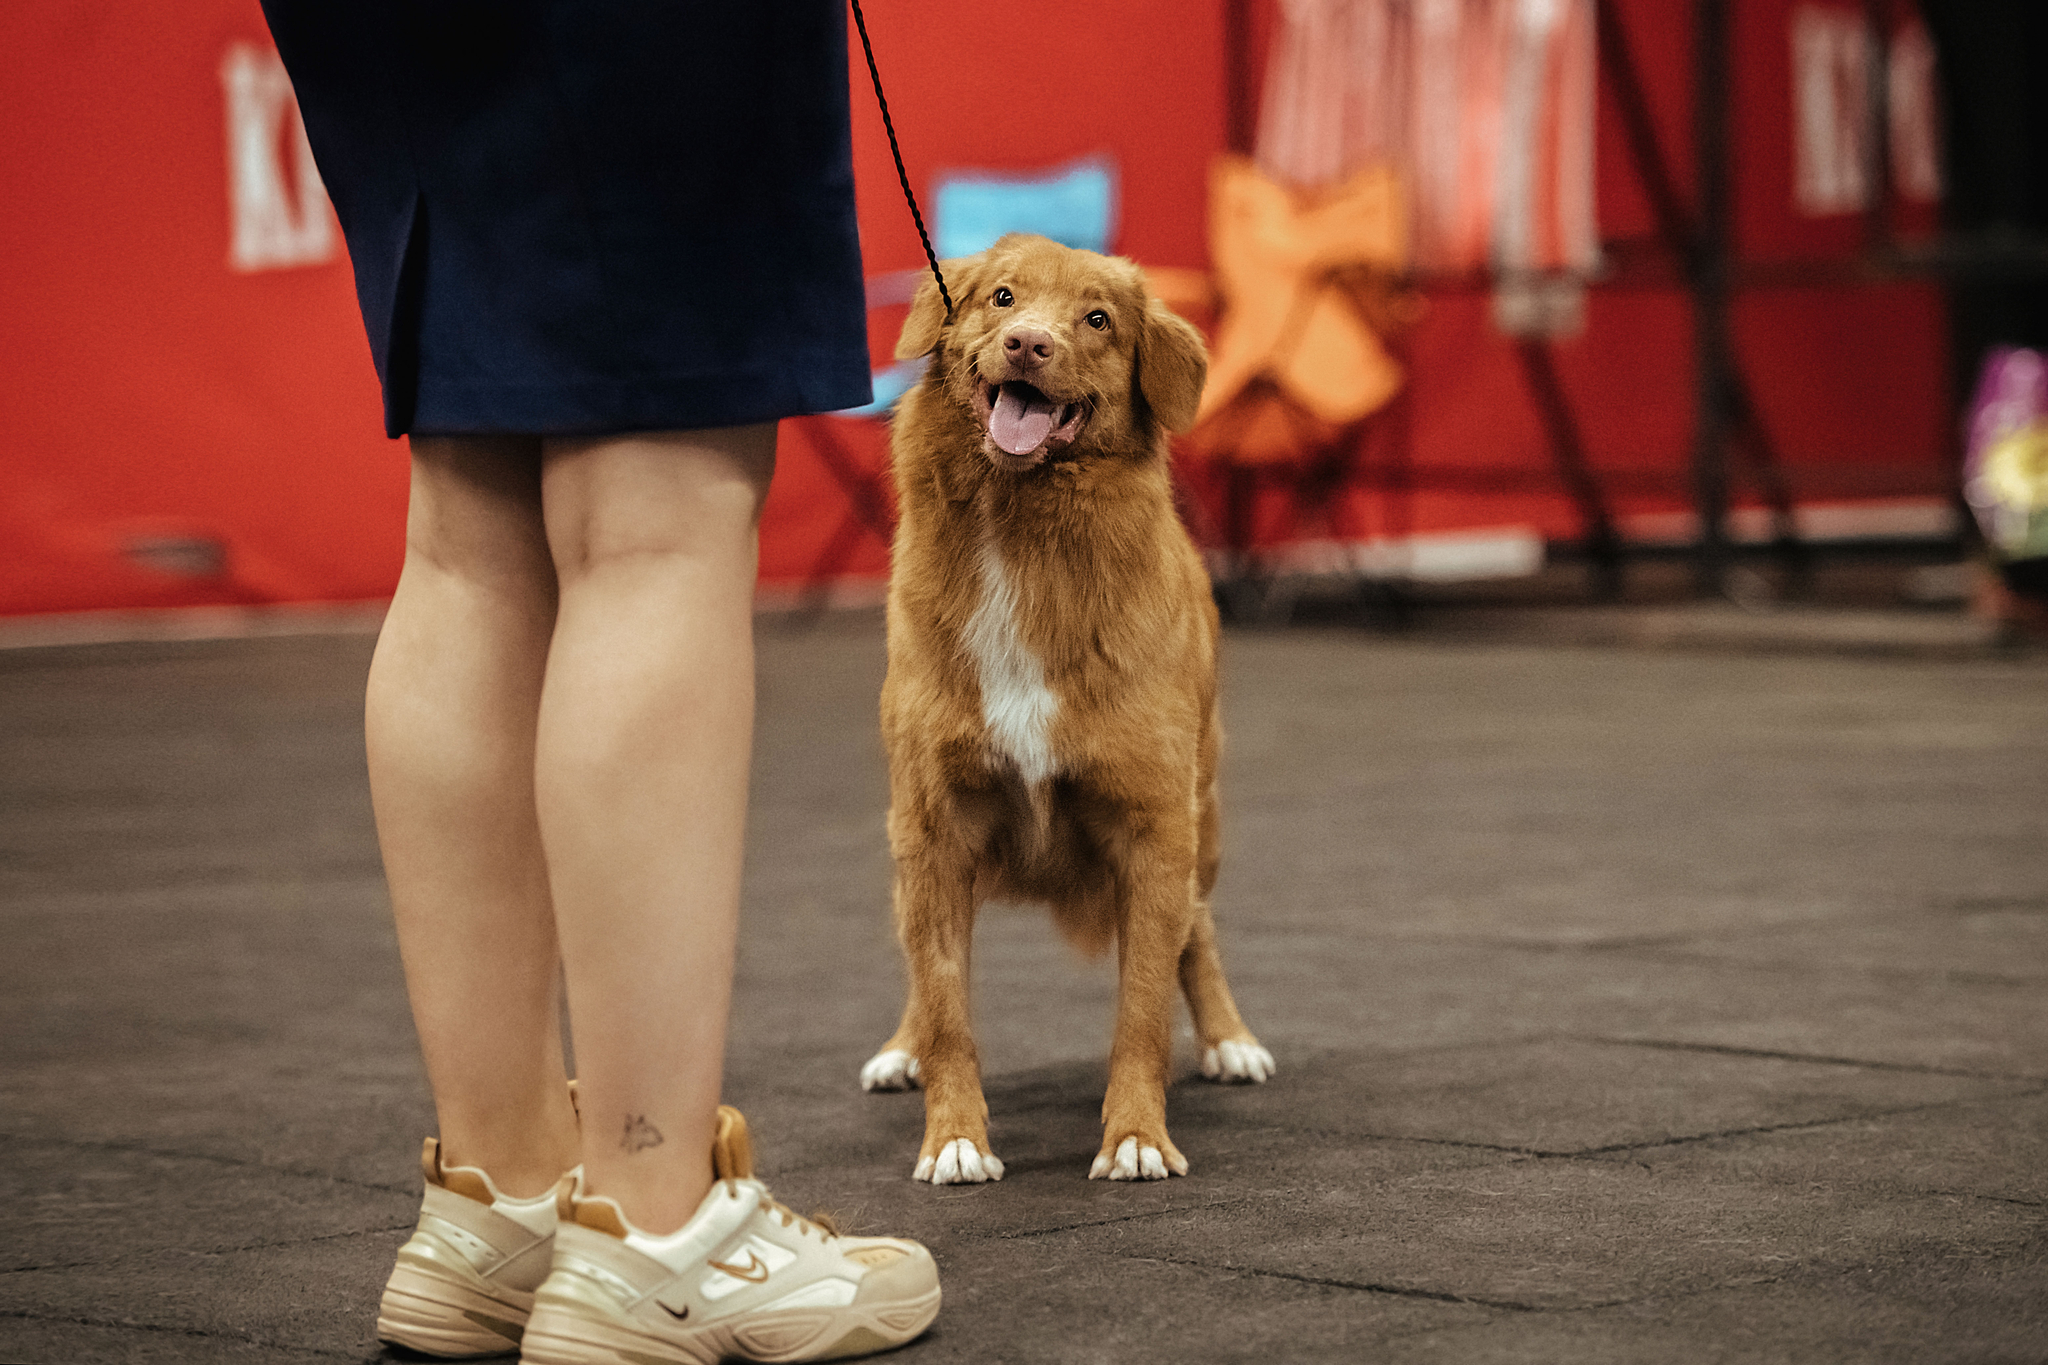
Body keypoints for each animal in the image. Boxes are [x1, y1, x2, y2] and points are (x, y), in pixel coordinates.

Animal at [856, 237, 1269, 1186]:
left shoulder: (1155, 829)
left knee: (1201, 931)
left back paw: (1229, 1039)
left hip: (1206, 815)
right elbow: (945, 1003)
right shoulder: (932, 825)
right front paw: (955, 1138)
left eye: (1098, 319)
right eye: (1003, 298)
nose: (1028, 345)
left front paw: (1136, 1137)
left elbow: (1142, 1009)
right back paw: (897, 1049)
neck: (1023, 532)